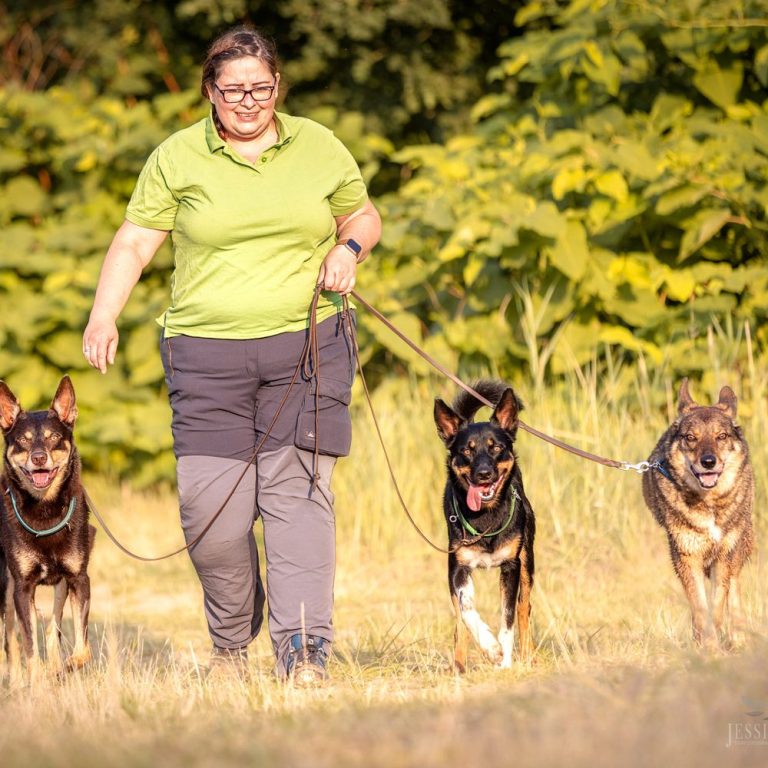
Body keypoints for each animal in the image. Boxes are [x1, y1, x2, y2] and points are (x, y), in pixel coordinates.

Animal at [0, 376, 95, 676]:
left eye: (54, 437)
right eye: (22, 440)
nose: (39, 458)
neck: (45, 510)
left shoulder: (78, 578)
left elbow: (80, 644)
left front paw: (70, 663)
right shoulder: (22, 587)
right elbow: (29, 645)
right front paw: (36, 678)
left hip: (60, 586)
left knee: (53, 629)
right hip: (5, 585)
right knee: (10, 643)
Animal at [436, 380, 536, 668]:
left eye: (496, 448)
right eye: (466, 450)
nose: (483, 474)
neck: (485, 518)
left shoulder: (511, 567)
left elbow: (508, 618)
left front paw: (505, 661)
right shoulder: (457, 567)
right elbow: (467, 610)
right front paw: (490, 647)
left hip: (527, 561)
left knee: (524, 609)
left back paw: (528, 655)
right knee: (460, 622)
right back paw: (459, 665)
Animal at [640, 378, 756, 648]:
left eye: (721, 436)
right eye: (691, 438)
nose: (708, 462)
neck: (710, 504)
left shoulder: (724, 556)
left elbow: (718, 605)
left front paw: (716, 641)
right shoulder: (685, 556)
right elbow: (700, 608)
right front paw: (707, 646)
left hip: (738, 549)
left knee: (734, 588)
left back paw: (737, 639)